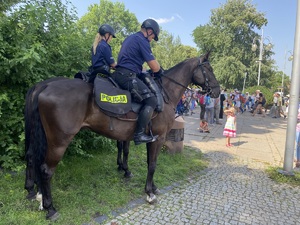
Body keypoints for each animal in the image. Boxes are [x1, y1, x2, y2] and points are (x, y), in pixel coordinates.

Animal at [25, 51, 220, 220]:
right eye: (209, 69)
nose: (217, 91)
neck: (164, 94)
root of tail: (45, 86)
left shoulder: (144, 138)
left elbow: (144, 160)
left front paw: (149, 184)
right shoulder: (158, 138)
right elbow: (152, 165)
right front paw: (149, 192)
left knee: (32, 157)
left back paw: (36, 194)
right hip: (59, 141)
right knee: (46, 169)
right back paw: (49, 207)